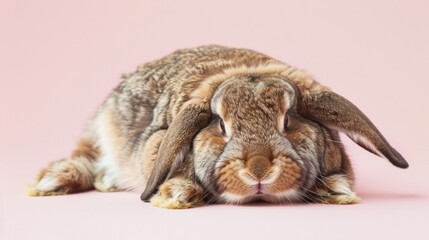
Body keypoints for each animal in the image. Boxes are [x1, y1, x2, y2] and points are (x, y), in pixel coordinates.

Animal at [27, 45, 408, 208]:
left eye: (288, 120)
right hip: (98, 129)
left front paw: (336, 190)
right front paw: (177, 194)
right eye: (221, 125)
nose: (258, 169)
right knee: (84, 157)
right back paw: (53, 181)